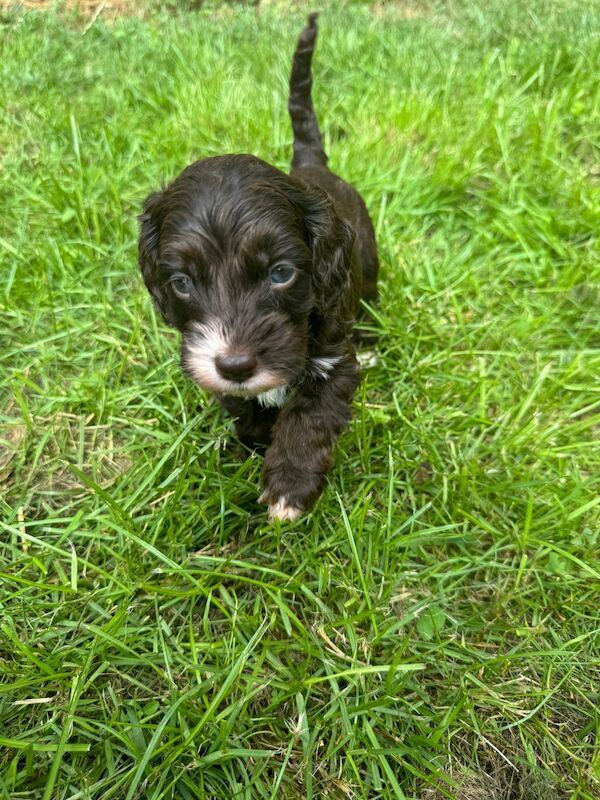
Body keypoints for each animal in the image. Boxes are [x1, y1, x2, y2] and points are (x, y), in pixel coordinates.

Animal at [138, 17, 378, 524]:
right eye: (181, 283)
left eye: (281, 273)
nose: (235, 364)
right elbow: (244, 410)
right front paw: (255, 442)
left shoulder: (333, 364)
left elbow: (309, 418)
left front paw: (289, 486)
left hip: (368, 265)